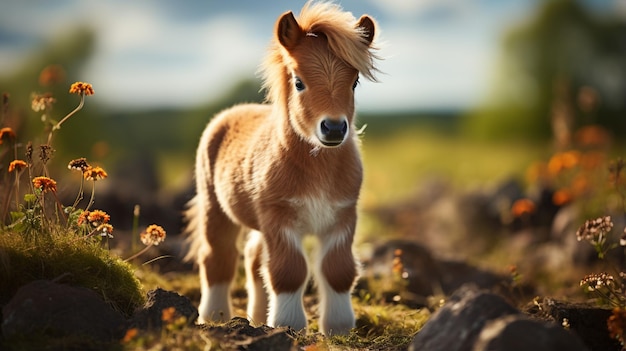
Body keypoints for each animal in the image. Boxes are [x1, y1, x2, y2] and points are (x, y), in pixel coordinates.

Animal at [185, 2, 378, 336]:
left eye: (354, 82)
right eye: (298, 82)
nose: (333, 128)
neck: (317, 168)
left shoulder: (342, 218)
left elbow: (337, 270)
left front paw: (338, 327)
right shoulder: (280, 218)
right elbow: (288, 270)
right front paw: (288, 324)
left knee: (253, 258)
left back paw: (256, 318)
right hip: (215, 207)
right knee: (218, 257)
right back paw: (215, 317)